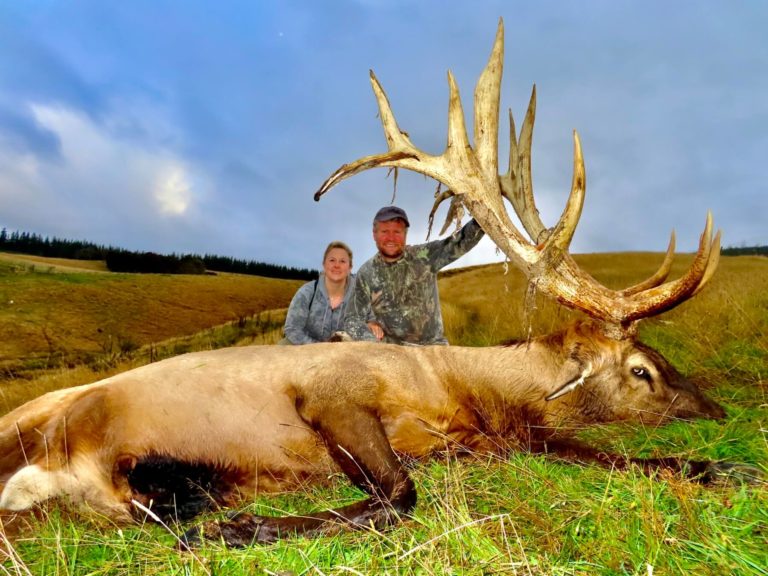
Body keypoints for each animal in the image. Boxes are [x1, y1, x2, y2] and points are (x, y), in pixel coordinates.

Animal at [0, 19, 758, 548]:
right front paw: (244, 529)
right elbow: (400, 493)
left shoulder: (497, 439)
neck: (465, 392)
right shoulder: (333, 392)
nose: (719, 411)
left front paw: (728, 470)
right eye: (641, 370)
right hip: (27, 426)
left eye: (662, 358)